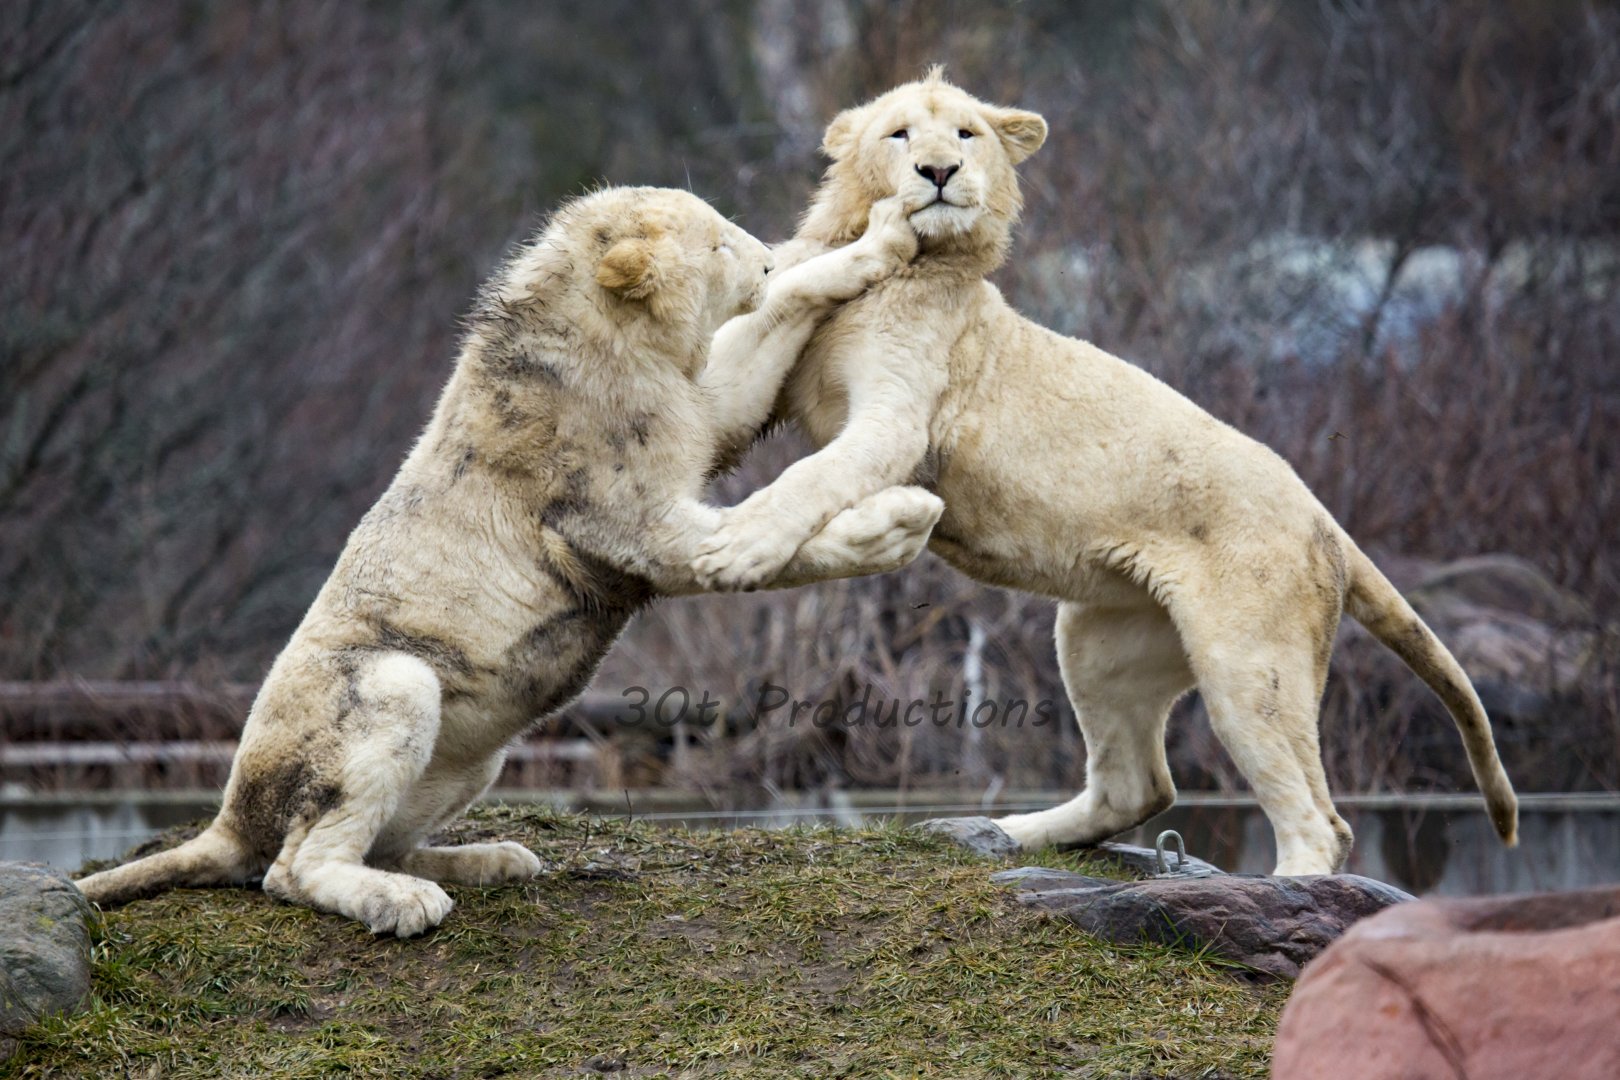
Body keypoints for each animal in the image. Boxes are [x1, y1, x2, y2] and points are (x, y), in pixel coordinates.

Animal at [76, 187, 941, 934]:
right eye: (720, 242)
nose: (763, 259)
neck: (616, 345)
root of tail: (228, 813)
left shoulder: (700, 414)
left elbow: (771, 337)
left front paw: (879, 240)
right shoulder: (628, 520)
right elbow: (757, 544)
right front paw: (895, 523)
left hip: (476, 759)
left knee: (384, 839)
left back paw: (491, 859)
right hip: (386, 682)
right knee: (292, 867)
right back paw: (404, 902)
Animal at [691, 70, 1519, 876]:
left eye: (966, 133)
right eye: (899, 133)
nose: (939, 172)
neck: (927, 262)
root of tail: (1326, 520)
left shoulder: (899, 417)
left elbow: (811, 478)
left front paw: (736, 548)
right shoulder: (748, 387)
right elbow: (755, 352)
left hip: (1250, 660)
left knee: (1320, 822)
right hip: (1101, 640)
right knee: (1140, 785)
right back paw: (1009, 832)